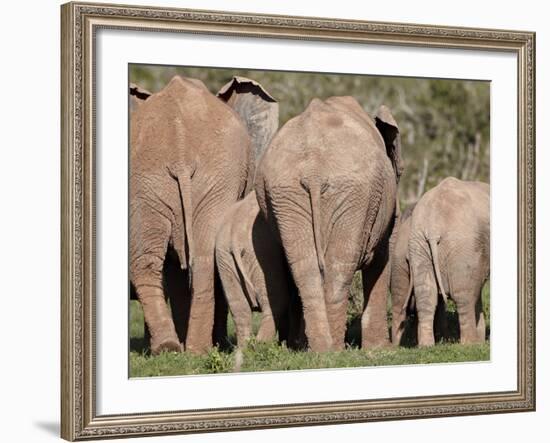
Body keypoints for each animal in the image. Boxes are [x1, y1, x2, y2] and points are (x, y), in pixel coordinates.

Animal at [215, 193, 294, 348]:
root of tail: (234, 235)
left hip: (224, 258)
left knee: (240, 309)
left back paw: (244, 349)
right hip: (261, 254)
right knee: (276, 300)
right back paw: (261, 346)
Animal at [256, 95, 404, 352]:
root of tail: (313, 171)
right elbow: (383, 256)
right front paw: (380, 349)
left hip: (284, 194)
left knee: (304, 268)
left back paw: (318, 348)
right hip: (354, 193)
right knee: (339, 265)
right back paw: (333, 349)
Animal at [410, 177, 492, 346]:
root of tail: (433, 226)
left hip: (418, 241)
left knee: (425, 293)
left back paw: (426, 346)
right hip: (463, 243)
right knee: (464, 294)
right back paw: (470, 344)